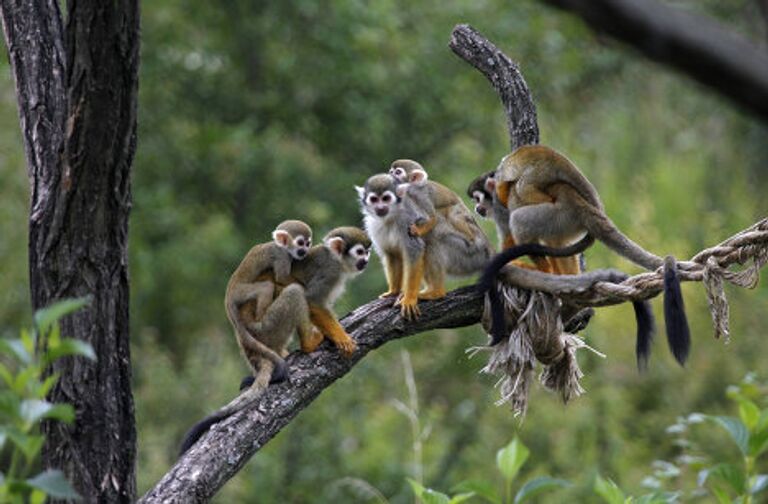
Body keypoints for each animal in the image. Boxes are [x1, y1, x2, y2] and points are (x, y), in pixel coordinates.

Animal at [356, 173, 488, 318]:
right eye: (374, 199)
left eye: (386, 198)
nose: (380, 208)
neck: (390, 216)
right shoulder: (373, 225)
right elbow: (392, 255)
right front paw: (393, 291)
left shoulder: (407, 220)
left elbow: (415, 252)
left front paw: (409, 298)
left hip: (470, 253)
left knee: (433, 236)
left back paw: (436, 292)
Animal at [480, 144, 688, 364]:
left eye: (479, 199)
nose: (478, 208)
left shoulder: (500, 199)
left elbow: (505, 211)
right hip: (564, 220)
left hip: (549, 201)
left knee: (521, 212)